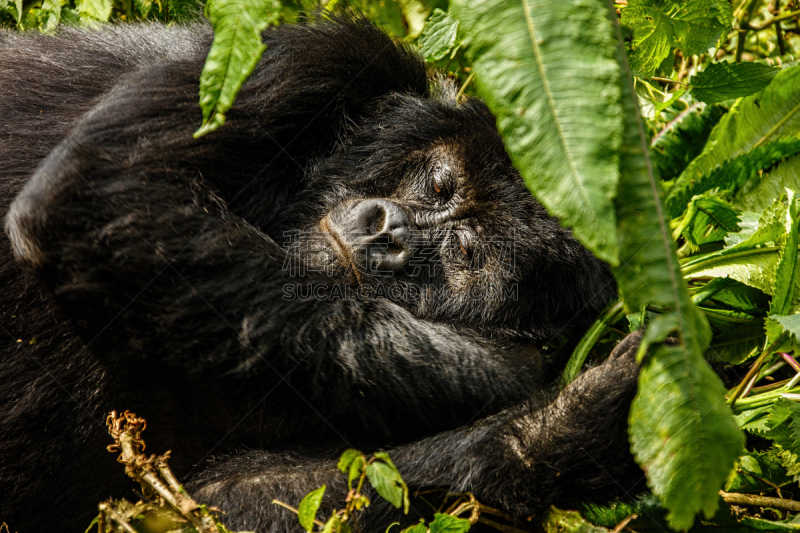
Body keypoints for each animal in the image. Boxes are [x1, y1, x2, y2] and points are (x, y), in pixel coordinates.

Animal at [0, 15, 644, 532]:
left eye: (464, 254)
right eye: (440, 185)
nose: (391, 233)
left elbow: (225, 501)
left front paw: (558, 431)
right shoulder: (322, 58)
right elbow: (102, 189)